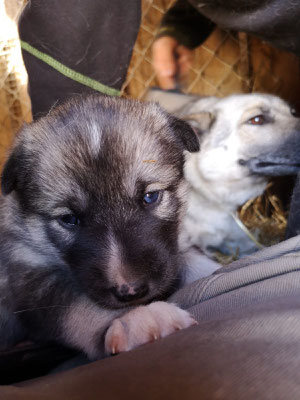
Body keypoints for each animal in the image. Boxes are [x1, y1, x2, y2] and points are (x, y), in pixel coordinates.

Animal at [0, 95, 197, 358]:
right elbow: (80, 308)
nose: (130, 291)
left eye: (150, 196)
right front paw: (137, 318)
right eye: (69, 219)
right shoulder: (30, 278)